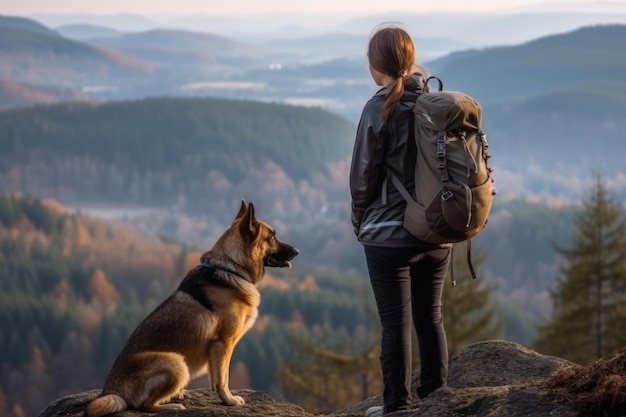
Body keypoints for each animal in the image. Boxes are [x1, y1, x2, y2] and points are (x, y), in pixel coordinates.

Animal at [85, 200, 298, 414]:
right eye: (272, 236)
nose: (297, 251)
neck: (231, 267)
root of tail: (113, 391)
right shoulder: (224, 343)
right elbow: (223, 379)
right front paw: (229, 400)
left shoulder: (216, 350)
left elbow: (215, 379)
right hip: (176, 363)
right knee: (146, 406)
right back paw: (173, 405)